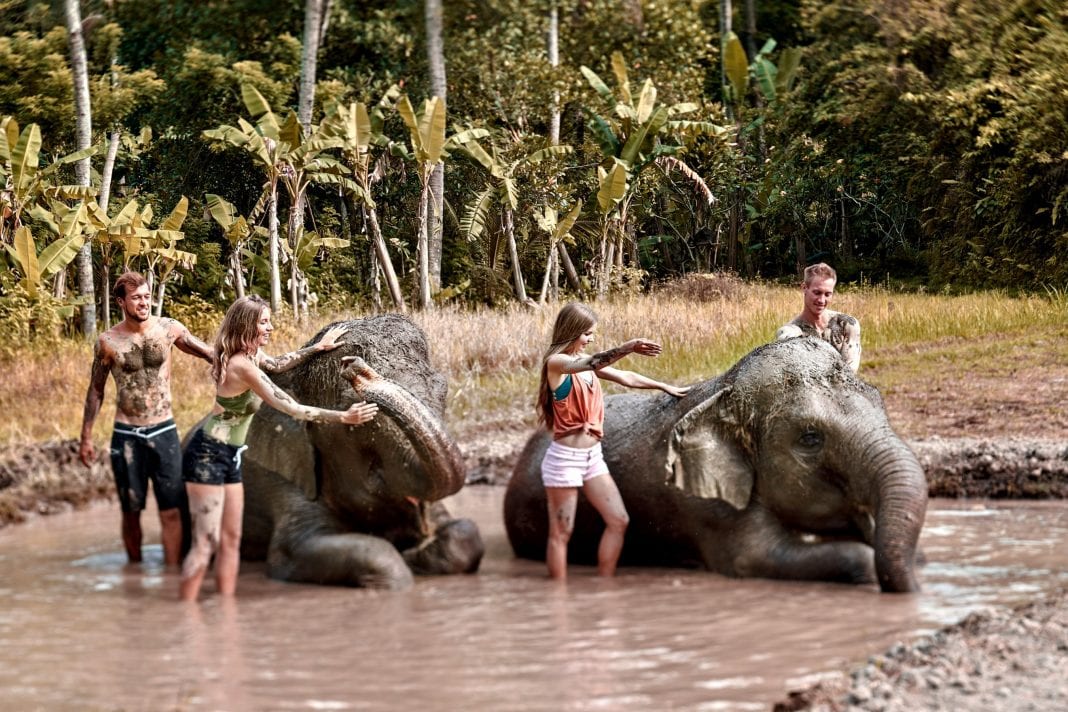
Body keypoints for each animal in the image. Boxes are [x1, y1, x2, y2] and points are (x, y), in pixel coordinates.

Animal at [238, 313, 484, 589]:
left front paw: (414, 553)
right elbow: (292, 551)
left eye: (443, 390)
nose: (353, 365)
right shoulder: (284, 477)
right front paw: (402, 565)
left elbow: (465, 534)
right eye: (351, 405)